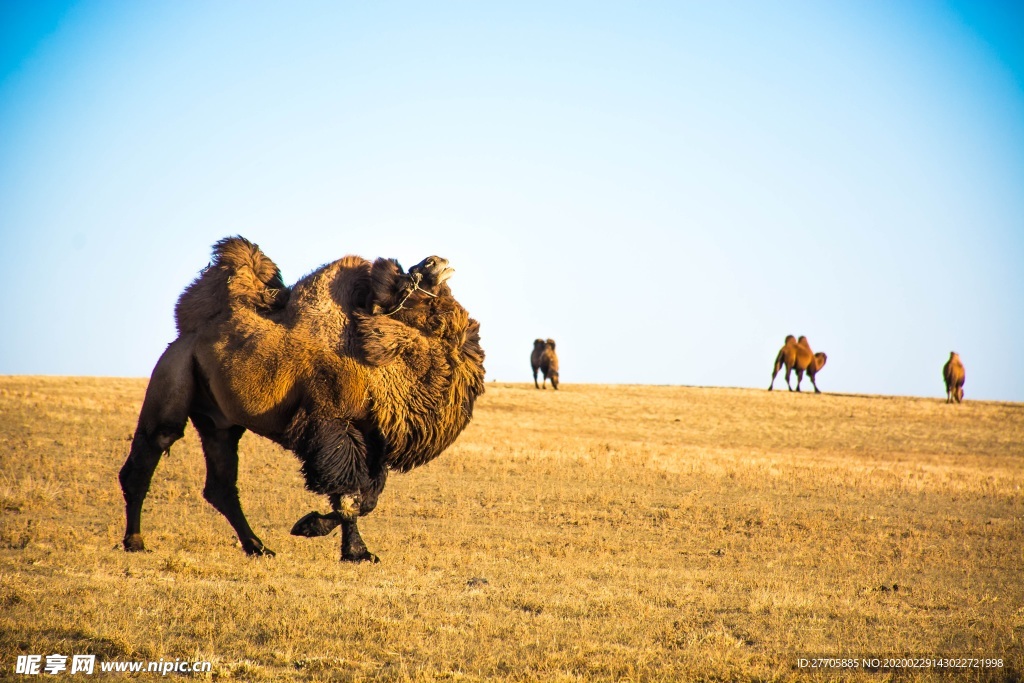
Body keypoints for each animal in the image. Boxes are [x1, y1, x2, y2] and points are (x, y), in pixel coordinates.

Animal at [117, 237, 485, 565]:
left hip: (220, 423)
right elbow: (349, 494)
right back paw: (135, 542)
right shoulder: (332, 424)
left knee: (220, 485)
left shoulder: (373, 437)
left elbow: (367, 499)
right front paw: (352, 550)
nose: (436, 260)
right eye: (410, 282)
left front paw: (315, 528)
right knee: (149, 453)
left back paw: (258, 547)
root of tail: (187, 336)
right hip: (173, 377)